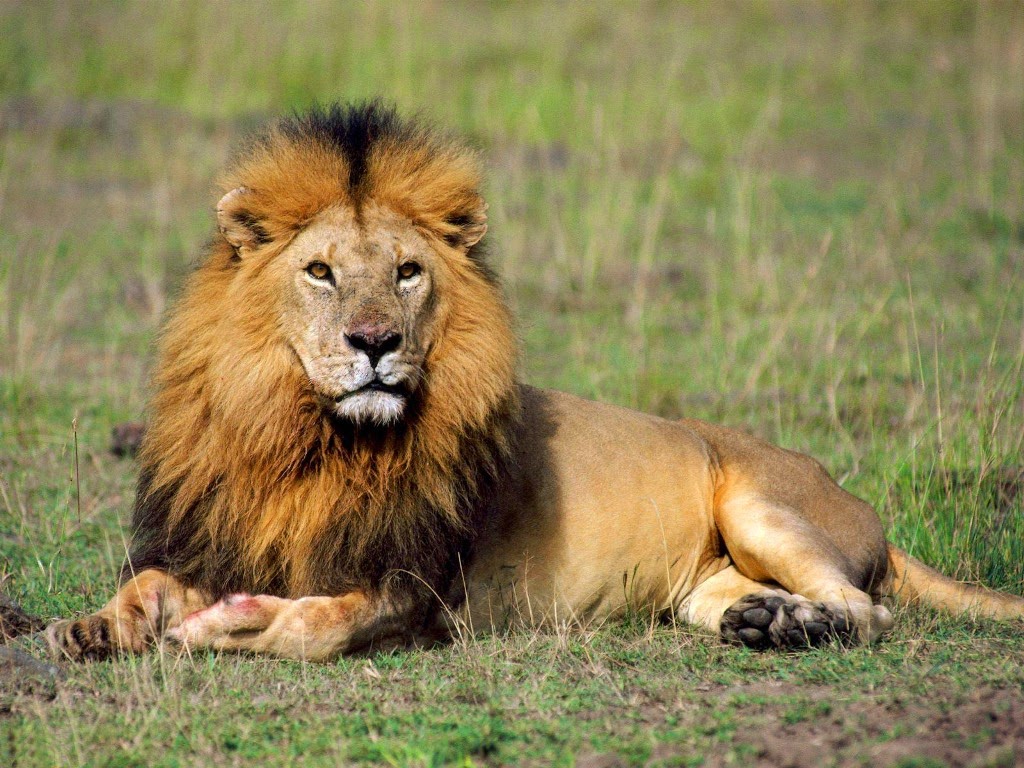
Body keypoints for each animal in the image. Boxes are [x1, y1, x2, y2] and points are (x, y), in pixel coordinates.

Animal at [47, 102, 1024, 662]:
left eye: (407, 272)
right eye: (320, 272)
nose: (376, 342)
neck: (309, 439)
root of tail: (859, 504)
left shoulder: (417, 591)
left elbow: (313, 626)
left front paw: (234, 626)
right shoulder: (220, 534)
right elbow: (143, 587)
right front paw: (88, 627)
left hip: (762, 503)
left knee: (869, 608)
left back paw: (800, 627)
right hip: (704, 583)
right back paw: (766, 622)